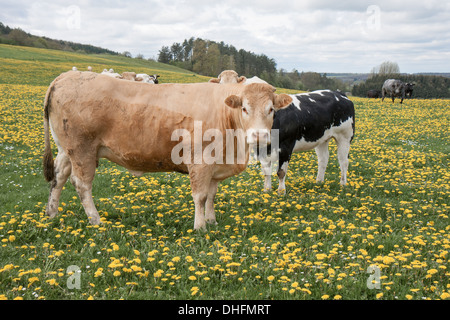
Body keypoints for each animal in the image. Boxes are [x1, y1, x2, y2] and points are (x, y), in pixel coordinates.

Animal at [43, 70, 292, 230]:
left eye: (271, 109)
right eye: (244, 108)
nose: (259, 136)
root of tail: (64, 77)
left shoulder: (216, 165)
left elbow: (211, 195)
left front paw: (212, 221)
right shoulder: (200, 161)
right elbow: (200, 196)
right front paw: (200, 227)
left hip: (66, 149)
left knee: (59, 177)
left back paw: (52, 213)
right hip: (82, 149)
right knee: (81, 184)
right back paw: (96, 220)